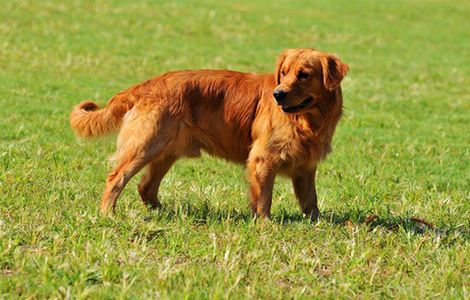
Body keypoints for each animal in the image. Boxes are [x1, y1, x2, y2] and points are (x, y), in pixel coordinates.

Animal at [70, 48, 348, 219]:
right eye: (284, 72)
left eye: (304, 75)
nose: (278, 94)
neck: (307, 121)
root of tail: (146, 84)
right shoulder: (262, 159)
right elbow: (263, 198)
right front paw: (264, 224)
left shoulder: (306, 166)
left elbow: (311, 200)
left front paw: (318, 222)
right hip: (145, 145)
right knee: (116, 178)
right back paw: (107, 213)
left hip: (165, 152)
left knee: (146, 186)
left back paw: (164, 212)